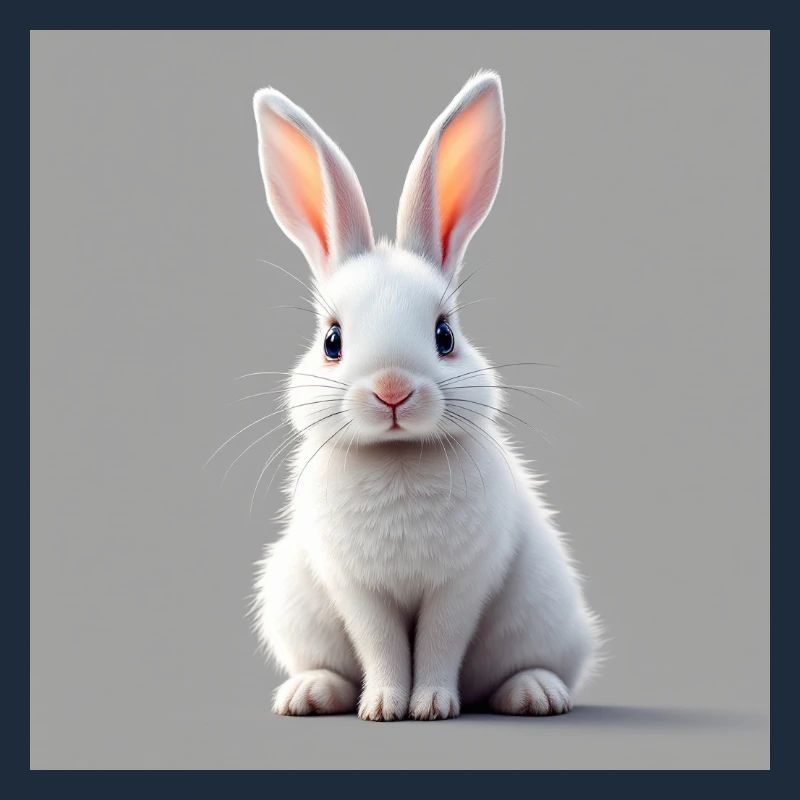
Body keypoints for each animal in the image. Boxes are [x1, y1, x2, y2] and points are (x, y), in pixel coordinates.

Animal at [246, 71, 601, 721]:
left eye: (445, 335)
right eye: (332, 340)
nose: (392, 390)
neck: (398, 458)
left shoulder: (461, 585)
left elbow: (439, 642)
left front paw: (431, 705)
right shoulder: (356, 589)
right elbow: (382, 644)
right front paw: (385, 706)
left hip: (544, 612)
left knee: (517, 668)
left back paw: (535, 693)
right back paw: (310, 693)